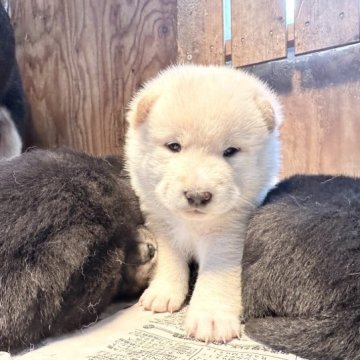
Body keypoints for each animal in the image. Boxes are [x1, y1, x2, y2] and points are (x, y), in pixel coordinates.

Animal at [125, 64, 282, 344]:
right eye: (174, 146)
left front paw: (211, 319)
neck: (192, 225)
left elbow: (215, 275)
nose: (198, 195)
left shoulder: (227, 236)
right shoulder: (162, 225)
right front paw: (162, 294)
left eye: (230, 151)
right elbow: (170, 260)